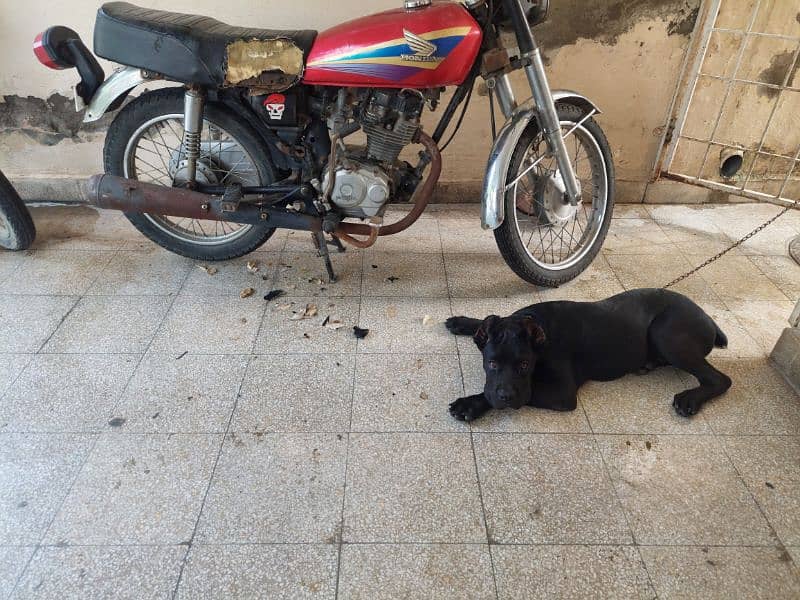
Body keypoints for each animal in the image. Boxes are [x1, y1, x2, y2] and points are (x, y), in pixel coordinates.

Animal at [446, 288, 736, 422]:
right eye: (492, 363)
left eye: (525, 365)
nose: (506, 397)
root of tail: (708, 318)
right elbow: (488, 322)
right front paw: (462, 322)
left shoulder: (562, 393)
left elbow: (516, 393)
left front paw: (470, 404)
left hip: (666, 333)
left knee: (720, 379)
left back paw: (690, 399)